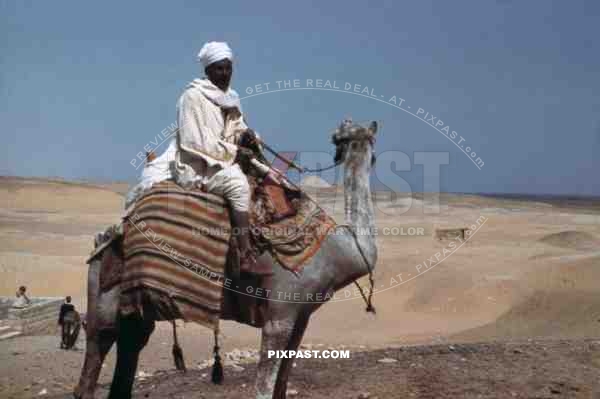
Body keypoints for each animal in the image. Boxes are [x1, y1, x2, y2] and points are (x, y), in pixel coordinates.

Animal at [72, 119, 378, 399]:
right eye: (346, 136)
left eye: (363, 137)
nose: (343, 139)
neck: (342, 249)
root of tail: (108, 236)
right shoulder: (280, 311)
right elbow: (263, 389)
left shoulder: (301, 315)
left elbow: (282, 382)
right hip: (104, 294)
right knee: (100, 340)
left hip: (135, 303)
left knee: (132, 340)